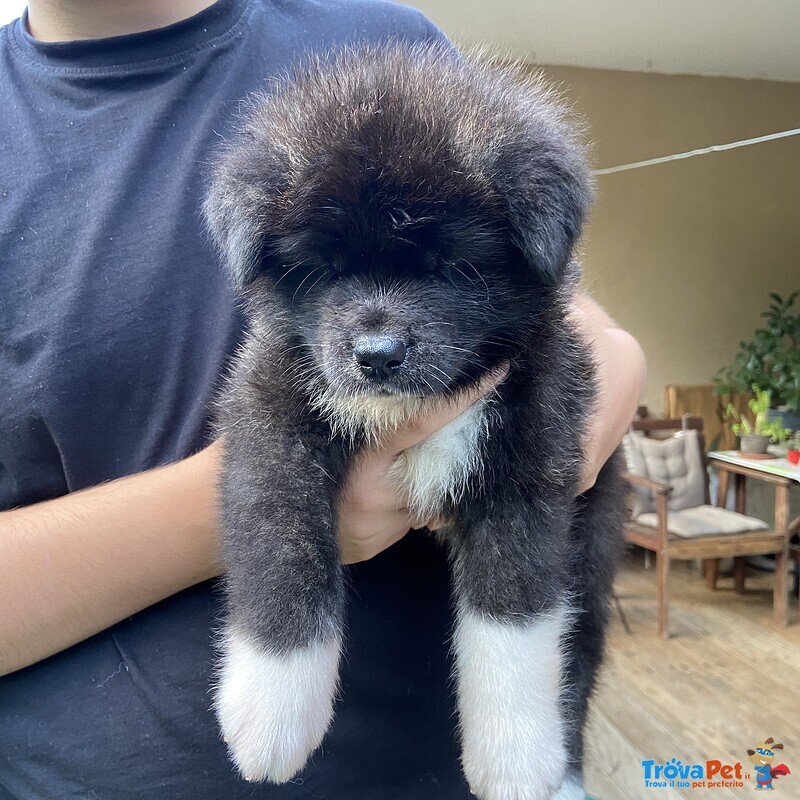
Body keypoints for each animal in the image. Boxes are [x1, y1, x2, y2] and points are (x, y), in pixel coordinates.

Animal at [205, 42, 624, 800]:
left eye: (451, 264)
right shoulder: (268, 416)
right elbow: (281, 549)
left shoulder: (532, 463)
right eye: (323, 268)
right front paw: (271, 711)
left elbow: (514, 619)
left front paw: (515, 758)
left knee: (577, 662)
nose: (377, 355)